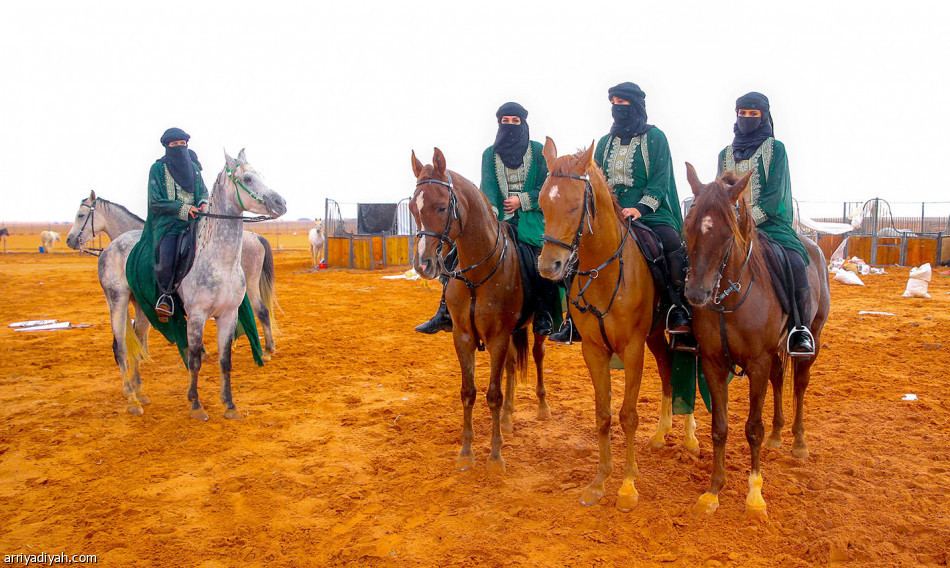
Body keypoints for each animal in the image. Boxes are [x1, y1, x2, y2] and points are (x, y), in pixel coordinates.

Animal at [68, 190, 278, 360]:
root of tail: (257, 237)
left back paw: (267, 350)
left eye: (80, 215)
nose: (70, 240)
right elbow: (143, 328)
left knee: (262, 311)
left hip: (249, 287)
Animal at [99, 150, 290, 418]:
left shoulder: (228, 315)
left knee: (136, 339)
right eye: (248, 178)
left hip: (142, 307)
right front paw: (196, 405)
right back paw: (132, 400)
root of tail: (109, 248)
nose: (280, 203)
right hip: (116, 300)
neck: (219, 260)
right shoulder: (197, 315)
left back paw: (140, 392)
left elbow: (225, 360)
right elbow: (194, 359)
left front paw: (230, 404)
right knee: (120, 348)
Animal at [410, 148, 552, 474]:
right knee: (512, 366)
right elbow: (469, 393)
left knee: (537, 356)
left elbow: (493, 394)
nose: (423, 264)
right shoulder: (463, 337)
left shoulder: (498, 337)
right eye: (412, 208)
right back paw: (509, 418)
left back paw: (541, 407)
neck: (477, 274)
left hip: (533, 329)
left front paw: (495, 456)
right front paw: (466, 452)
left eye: (441, 207)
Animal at [540, 138, 704, 510]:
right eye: (541, 203)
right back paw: (661, 433)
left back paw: (689, 437)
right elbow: (603, 415)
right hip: (656, 337)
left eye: (575, 206)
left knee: (687, 375)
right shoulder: (594, 350)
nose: (548, 266)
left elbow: (628, 416)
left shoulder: (631, 349)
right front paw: (600, 481)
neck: (604, 272)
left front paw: (628, 485)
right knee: (667, 372)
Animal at [684, 164, 832, 520]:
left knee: (800, 383)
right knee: (780, 379)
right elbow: (720, 427)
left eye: (727, 234)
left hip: (812, 337)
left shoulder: (757, 363)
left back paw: (798, 442)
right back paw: (778, 436)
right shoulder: (713, 363)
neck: (729, 298)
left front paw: (754, 496)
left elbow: (752, 428)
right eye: (688, 227)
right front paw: (713, 491)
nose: (696, 293)